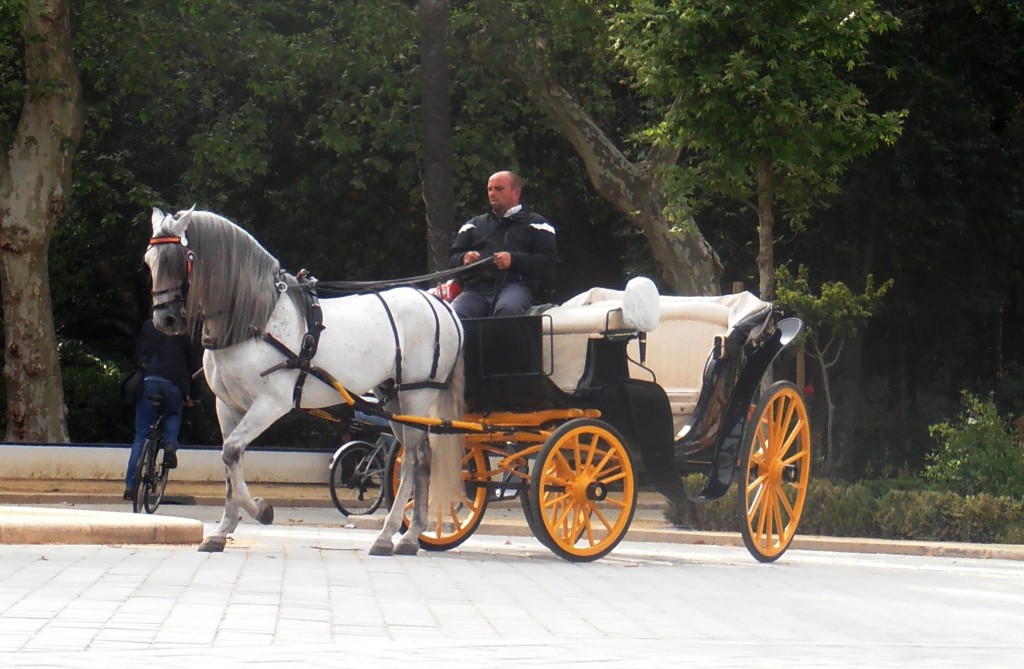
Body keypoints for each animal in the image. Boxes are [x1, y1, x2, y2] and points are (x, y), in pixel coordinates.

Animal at [144, 208, 464, 553]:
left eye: (180, 259)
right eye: (149, 260)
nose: (165, 319)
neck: (255, 321)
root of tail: (441, 305)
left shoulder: (271, 404)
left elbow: (231, 452)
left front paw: (261, 510)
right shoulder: (227, 406)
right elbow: (229, 461)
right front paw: (222, 530)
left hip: (417, 394)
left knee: (412, 461)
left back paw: (392, 535)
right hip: (393, 400)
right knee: (419, 459)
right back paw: (407, 534)